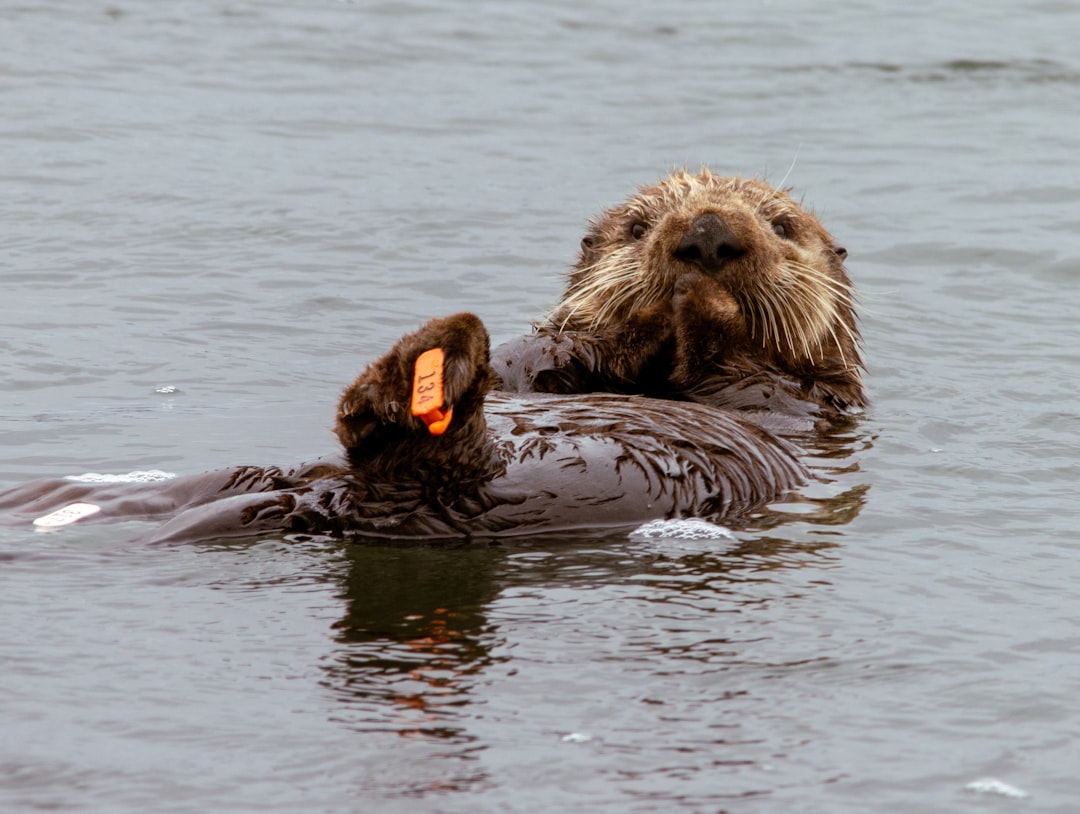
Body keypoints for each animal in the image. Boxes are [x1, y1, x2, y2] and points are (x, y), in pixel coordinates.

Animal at [494, 168, 866, 430]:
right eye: (637, 228)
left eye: (782, 227)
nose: (708, 233)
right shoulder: (526, 360)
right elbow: (533, 354)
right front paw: (656, 313)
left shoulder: (803, 396)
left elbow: (749, 381)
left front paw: (706, 300)